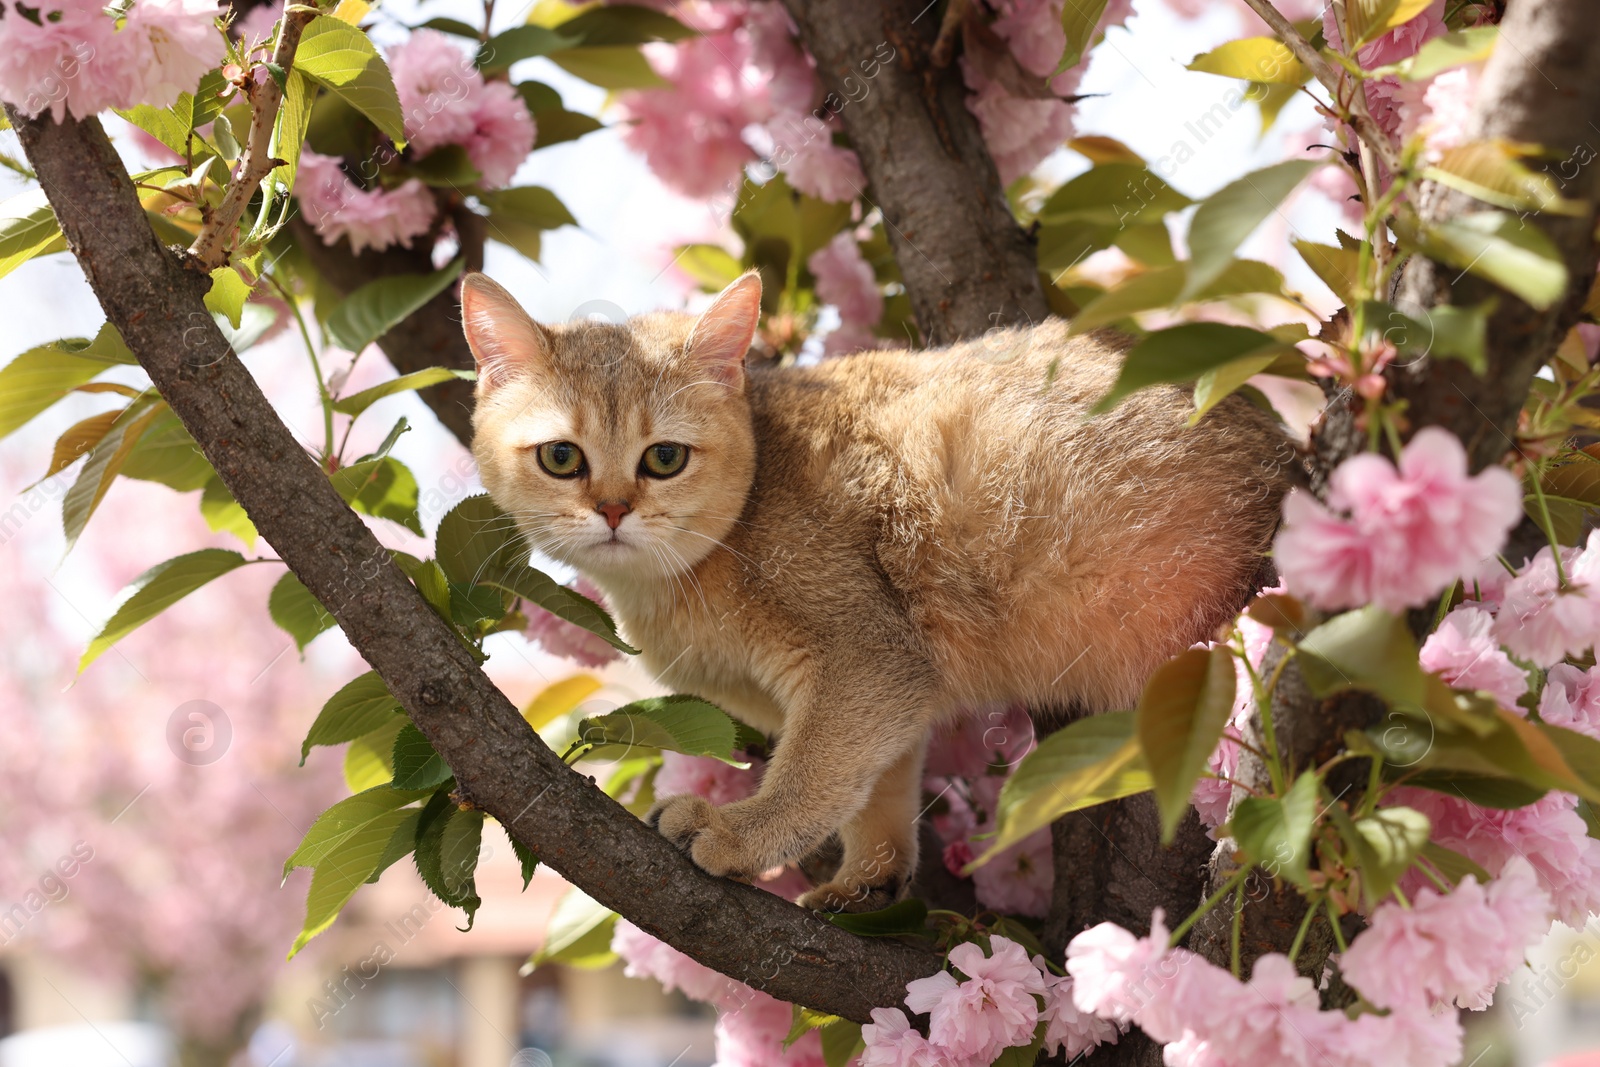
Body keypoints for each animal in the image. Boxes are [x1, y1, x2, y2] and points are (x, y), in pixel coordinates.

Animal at [457, 271, 1292, 915]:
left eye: (664, 458)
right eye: (561, 457)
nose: (612, 509)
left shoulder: (866, 654)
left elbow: (814, 773)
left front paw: (744, 833)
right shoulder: (890, 682)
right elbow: (876, 786)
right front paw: (870, 877)